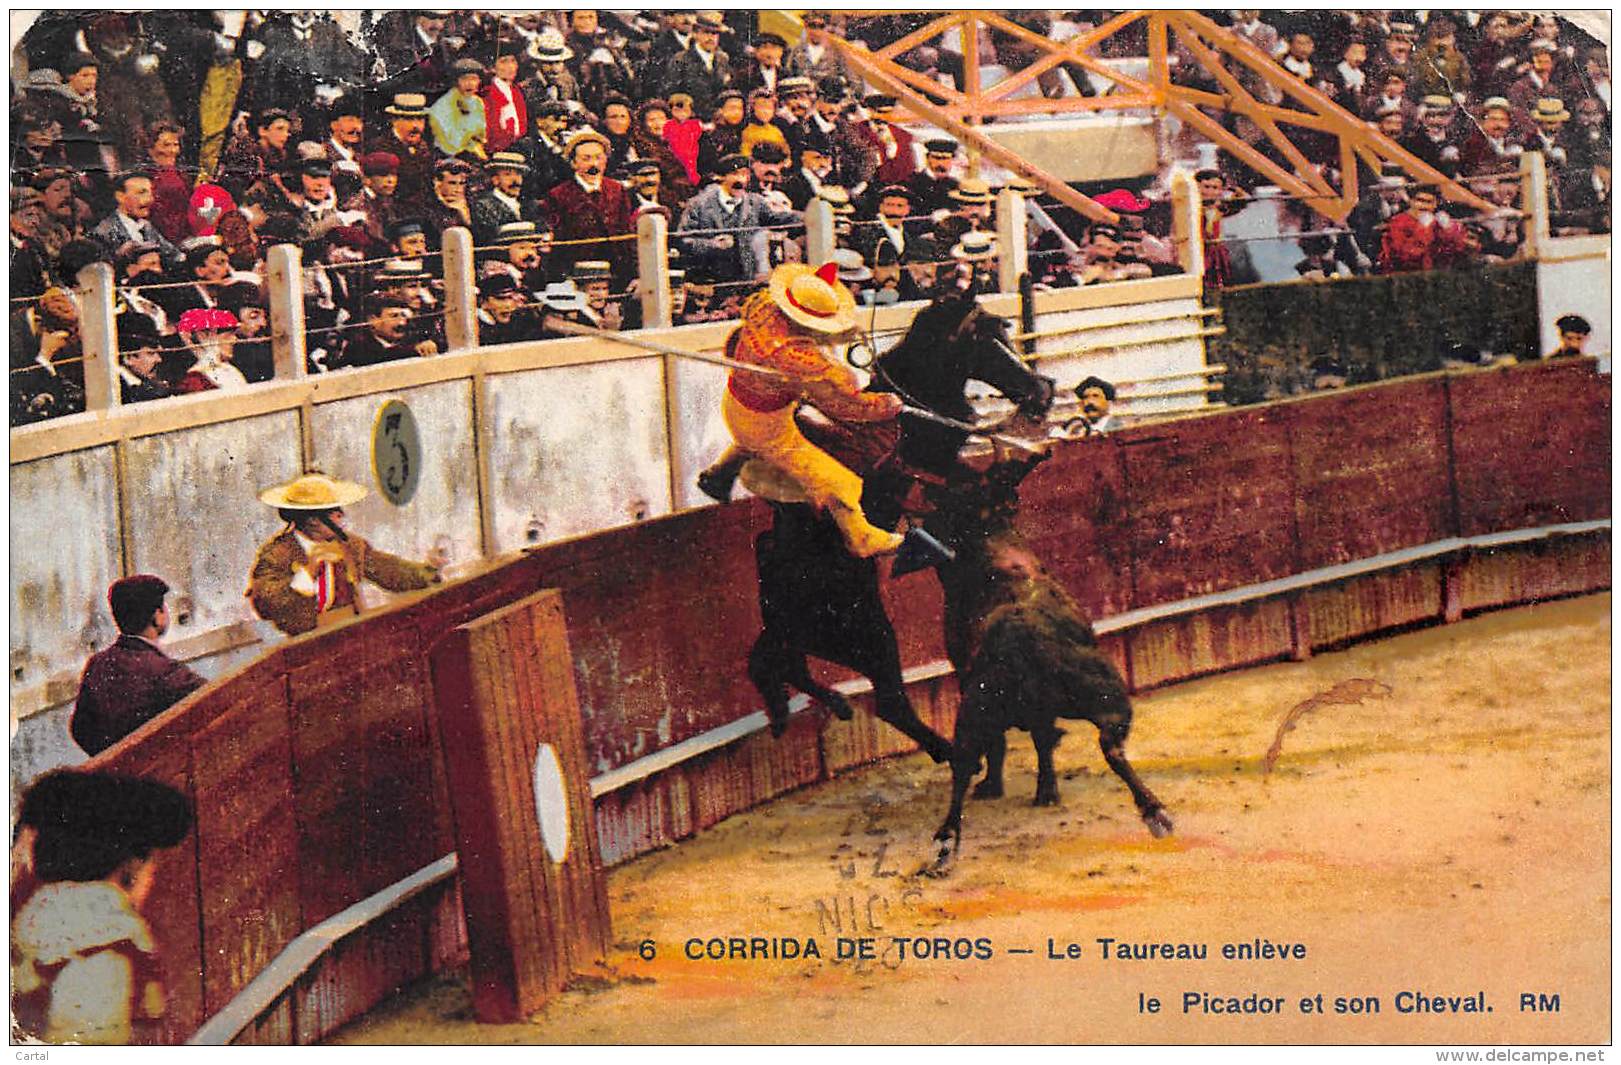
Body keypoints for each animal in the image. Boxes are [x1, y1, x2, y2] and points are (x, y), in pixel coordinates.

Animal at [739, 295, 1063, 758]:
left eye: (1004, 329)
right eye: (984, 340)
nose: (1042, 390)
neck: (912, 410)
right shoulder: (938, 475)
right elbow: (985, 481)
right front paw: (1027, 455)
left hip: (800, 638)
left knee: (773, 665)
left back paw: (826, 706)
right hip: (873, 635)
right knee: (889, 702)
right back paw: (946, 749)